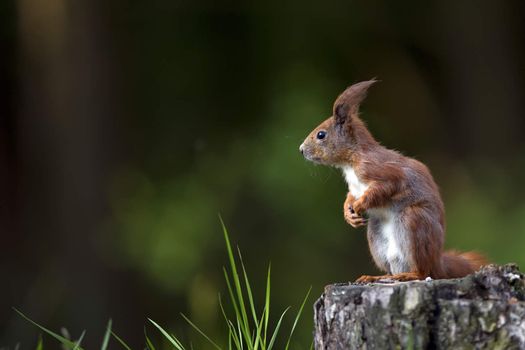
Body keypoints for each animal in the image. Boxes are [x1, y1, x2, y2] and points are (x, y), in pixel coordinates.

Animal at [298, 79, 484, 282]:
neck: (350, 162)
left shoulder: (382, 171)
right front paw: (349, 213)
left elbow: (384, 188)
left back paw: (408, 275)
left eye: (321, 135)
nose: (301, 150)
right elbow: (350, 196)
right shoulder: (354, 187)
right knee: (390, 270)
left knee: (423, 272)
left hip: (414, 221)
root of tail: (438, 262)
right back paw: (375, 277)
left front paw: (360, 205)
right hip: (376, 235)